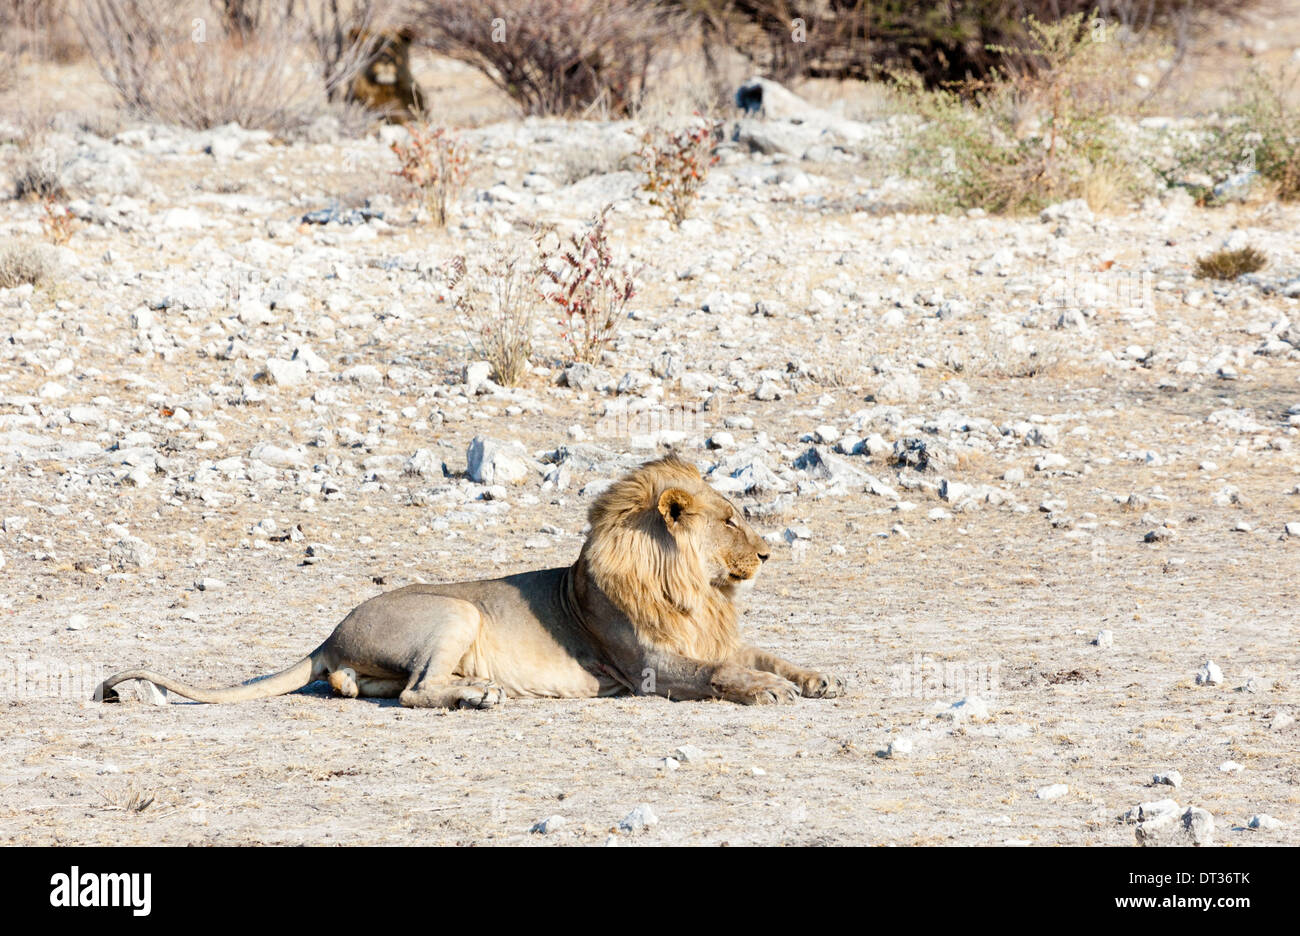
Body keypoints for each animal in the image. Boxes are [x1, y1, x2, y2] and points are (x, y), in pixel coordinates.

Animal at [91, 454, 842, 707]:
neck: (695, 594)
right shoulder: (647, 667)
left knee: (365, 686)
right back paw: (480, 697)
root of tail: (328, 634)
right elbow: (719, 674)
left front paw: (816, 677)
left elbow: (765, 653)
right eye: (730, 520)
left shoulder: (713, 638)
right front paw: (768, 690)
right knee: (416, 692)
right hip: (457, 613)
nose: (768, 555)